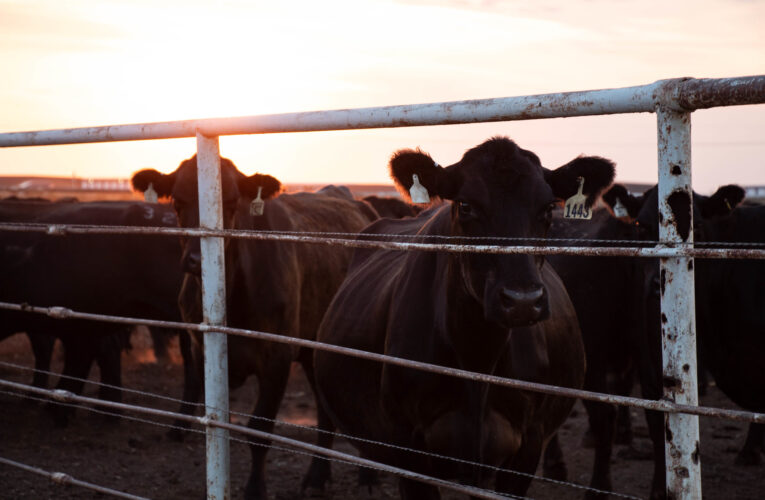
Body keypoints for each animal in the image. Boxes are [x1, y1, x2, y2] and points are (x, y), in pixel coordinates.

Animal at [134, 155, 380, 500]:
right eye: (178, 203)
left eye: (232, 202)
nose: (195, 259)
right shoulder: (201, 350)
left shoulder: (276, 359)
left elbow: (259, 432)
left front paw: (254, 489)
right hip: (313, 348)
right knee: (325, 411)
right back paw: (317, 476)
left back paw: (368, 477)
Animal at [312, 135, 616, 498]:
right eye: (467, 205)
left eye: (547, 208)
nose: (522, 301)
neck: (477, 356)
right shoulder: (406, 444)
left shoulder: (528, 444)